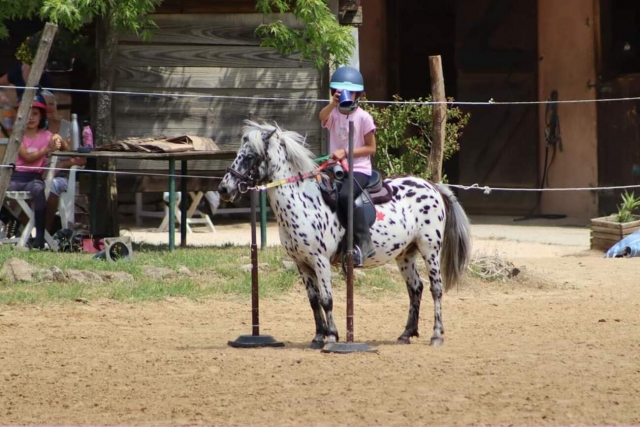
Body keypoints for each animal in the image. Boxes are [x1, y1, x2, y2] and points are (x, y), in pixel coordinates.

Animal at [218, 120, 472, 349]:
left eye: (249, 156)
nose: (223, 189)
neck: (302, 201)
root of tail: (433, 186)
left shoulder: (320, 261)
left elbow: (326, 299)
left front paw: (331, 337)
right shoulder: (302, 264)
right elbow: (313, 301)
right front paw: (318, 337)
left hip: (430, 249)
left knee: (435, 289)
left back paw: (436, 335)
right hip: (405, 254)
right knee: (415, 288)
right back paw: (406, 334)